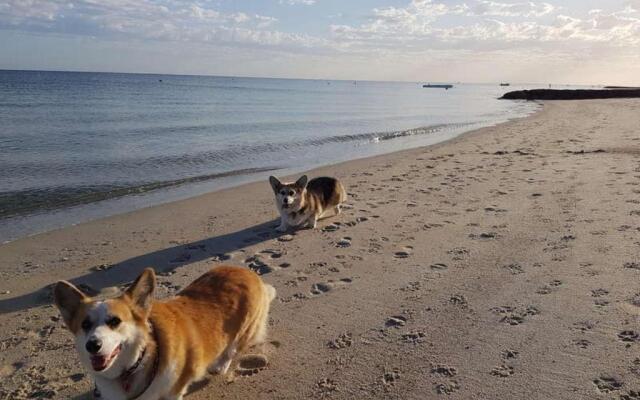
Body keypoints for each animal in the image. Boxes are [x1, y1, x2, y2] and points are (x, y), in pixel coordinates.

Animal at [54, 266, 276, 400]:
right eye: (85, 324)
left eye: (115, 321)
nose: (92, 345)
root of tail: (248, 272)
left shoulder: (173, 391)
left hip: (246, 327)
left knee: (233, 347)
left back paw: (219, 365)